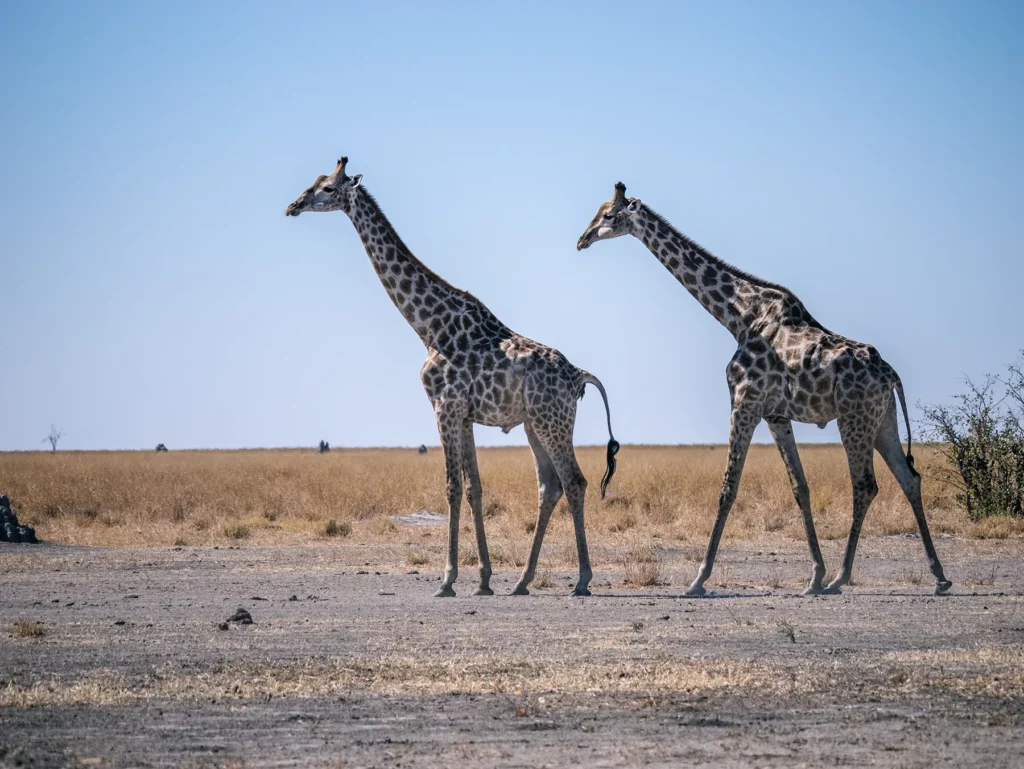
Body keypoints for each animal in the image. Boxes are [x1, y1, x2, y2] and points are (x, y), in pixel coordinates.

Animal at [286, 157, 620, 597]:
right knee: (550, 486)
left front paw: (447, 579)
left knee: (575, 482)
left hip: (553, 422)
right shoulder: (464, 415)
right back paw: (523, 580)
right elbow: (474, 487)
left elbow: (451, 487)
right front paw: (484, 580)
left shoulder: (443, 407)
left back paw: (581, 579)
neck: (429, 326)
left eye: (326, 187)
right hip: (534, 424)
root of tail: (579, 376)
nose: (293, 205)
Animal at [578, 182, 951, 597]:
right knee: (909, 478)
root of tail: (891, 375)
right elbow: (800, 487)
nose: (582, 239)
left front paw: (698, 579)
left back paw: (842, 578)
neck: (738, 317)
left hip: (853, 419)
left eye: (609, 215)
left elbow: (728, 488)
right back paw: (938, 576)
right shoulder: (775, 414)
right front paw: (813, 576)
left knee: (866, 485)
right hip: (883, 421)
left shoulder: (744, 403)